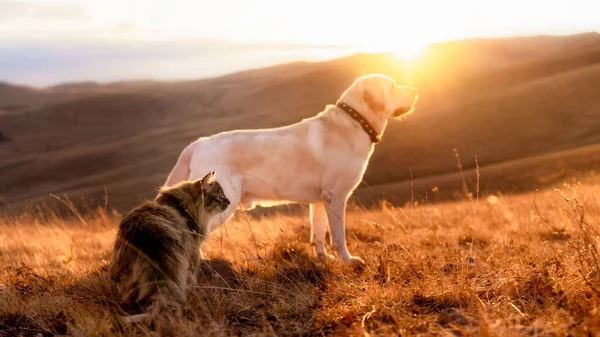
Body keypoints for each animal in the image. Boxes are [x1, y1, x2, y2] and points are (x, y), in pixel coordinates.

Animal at [164, 74, 418, 266]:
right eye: (392, 86)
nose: (415, 90)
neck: (355, 121)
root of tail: (199, 143)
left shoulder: (320, 200)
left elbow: (318, 234)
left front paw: (323, 259)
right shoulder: (336, 197)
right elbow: (338, 236)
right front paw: (348, 260)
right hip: (224, 201)